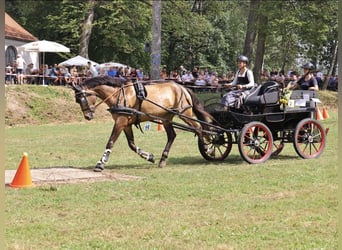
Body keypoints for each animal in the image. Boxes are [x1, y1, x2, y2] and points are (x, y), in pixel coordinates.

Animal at [71, 75, 212, 171]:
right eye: (77, 100)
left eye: (81, 99)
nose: (88, 116)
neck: (119, 94)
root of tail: (183, 87)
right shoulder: (126, 123)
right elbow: (132, 144)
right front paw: (149, 156)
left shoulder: (121, 121)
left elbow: (110, 141)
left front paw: (101, 163)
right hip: (166, 118)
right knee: (172, 135)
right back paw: (163, 159)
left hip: (185, 113)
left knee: (199, 128)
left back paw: (207, 148)